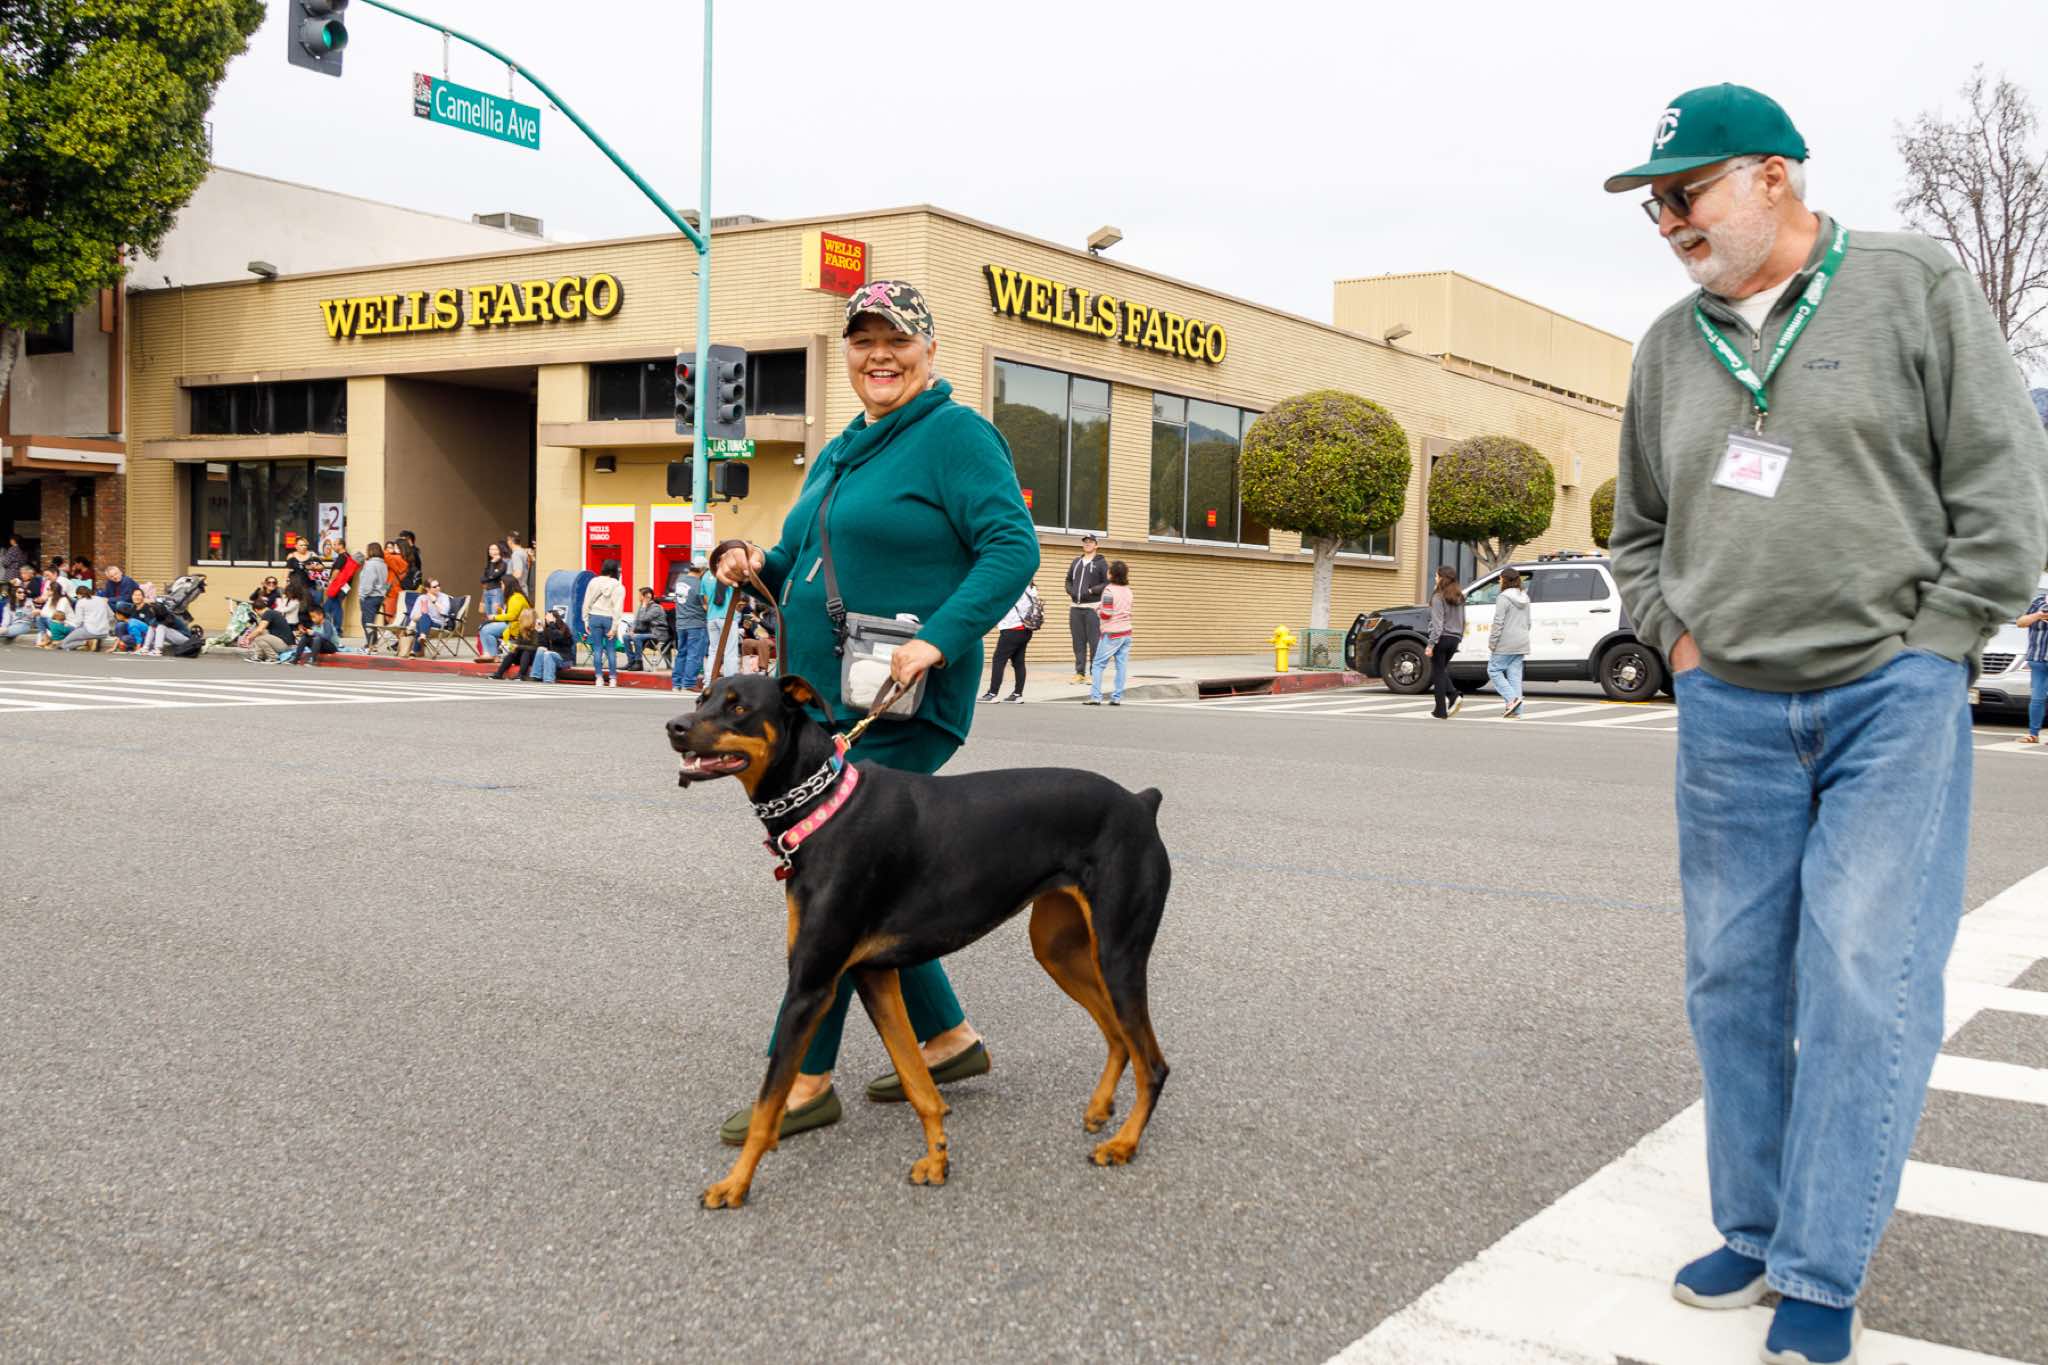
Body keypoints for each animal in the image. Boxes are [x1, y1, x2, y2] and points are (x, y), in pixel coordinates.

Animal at [669, 673, 1173, 1210]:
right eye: (703, 697)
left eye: (739, 707)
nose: (673, 726)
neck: (823, 809)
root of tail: (1141, 802)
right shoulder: (874, 976)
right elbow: (917, 1081)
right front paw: (937, 1157)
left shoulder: (810, 987)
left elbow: (768, 1103)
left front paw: (735, 1183)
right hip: (1059, 949)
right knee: (1119, 1036)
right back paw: (1100, 1110)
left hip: (1119, 954)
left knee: (1153, 1063)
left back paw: (1123, 1144)